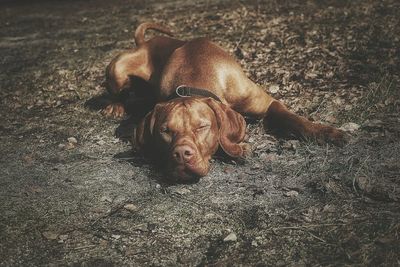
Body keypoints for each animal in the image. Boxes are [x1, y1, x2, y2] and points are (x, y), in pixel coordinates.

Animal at [106, 23, 346, 183]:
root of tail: (144, 42)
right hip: (117, 69)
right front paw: (239, 149)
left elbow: (294, 119)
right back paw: (114, 107)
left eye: (202, 127)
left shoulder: (269, 103)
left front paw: (327, 133)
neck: (194, 75)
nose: (181, 154)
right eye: (165, 130)